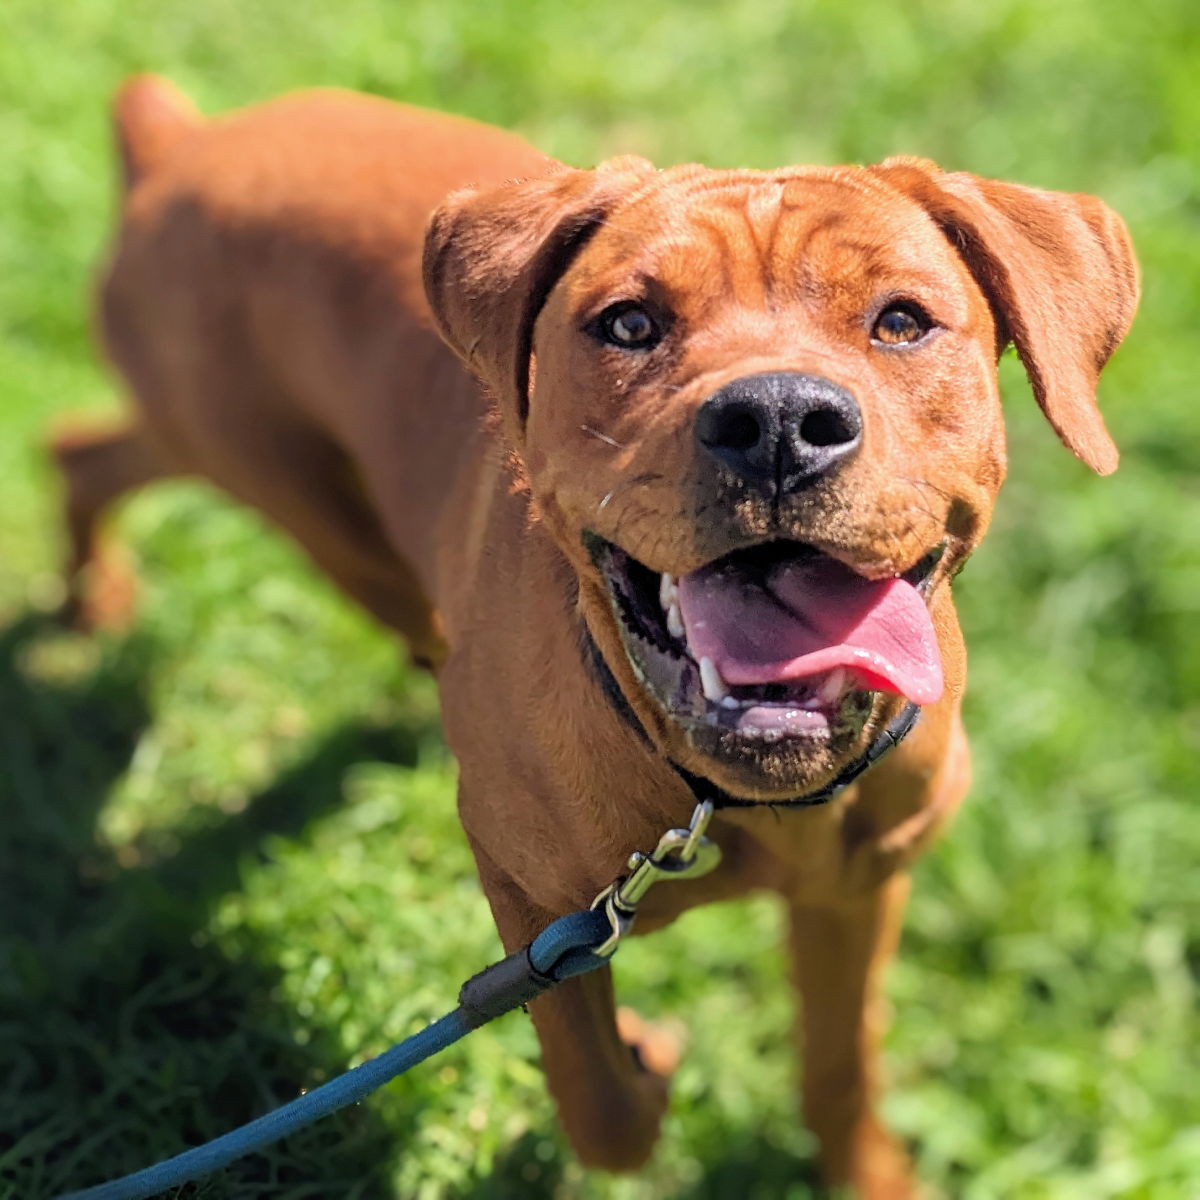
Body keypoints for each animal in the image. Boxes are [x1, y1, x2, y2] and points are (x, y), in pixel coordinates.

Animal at [56, 79, 1137, 1195]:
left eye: (902, 322)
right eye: (628, 323)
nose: (778, 417)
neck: (726, 794)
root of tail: (178, 144)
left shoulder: (859, 887)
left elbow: (841, 1071)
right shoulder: (537, 911)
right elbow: (600, 1106)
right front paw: (644, 1066)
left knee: (84, 450)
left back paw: (91, 591)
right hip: (301, 496)